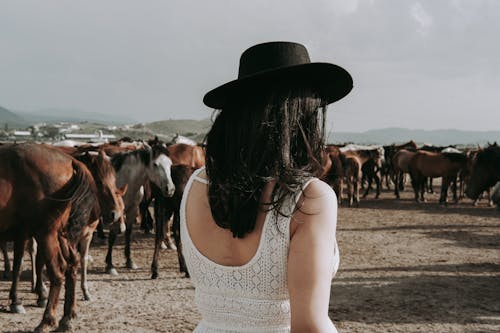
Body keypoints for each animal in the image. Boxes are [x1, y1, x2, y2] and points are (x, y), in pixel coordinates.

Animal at [0, 143, 105, 332]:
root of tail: (71, 162)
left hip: (46, 233)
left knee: (57, 272)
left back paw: (47, 320)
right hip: (59, 235)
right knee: (72, 262)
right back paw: (67, 317)